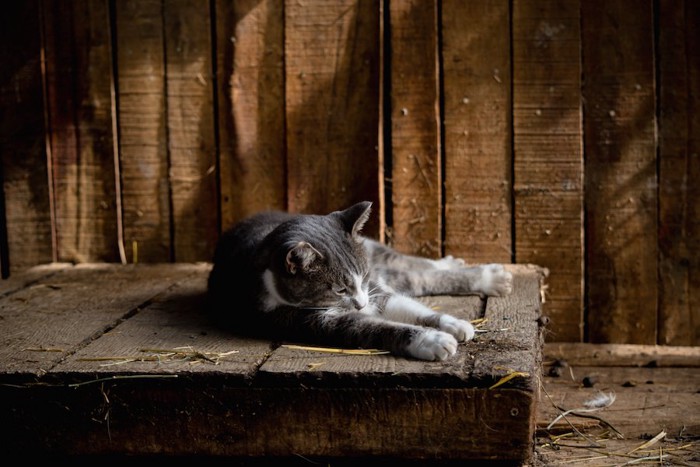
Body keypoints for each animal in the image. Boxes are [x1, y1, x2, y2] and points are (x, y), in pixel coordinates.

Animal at [205, 201, 512, 362]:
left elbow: (403, 303)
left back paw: (484, 274)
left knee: (412, 269)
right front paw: (433, 340)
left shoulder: (373, 287)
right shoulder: (307, 319)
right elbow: (373, 327)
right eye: (339, 290)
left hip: (375, 251)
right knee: (412, 276)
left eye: (362, 278)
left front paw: (453, 323)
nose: (362, 304)